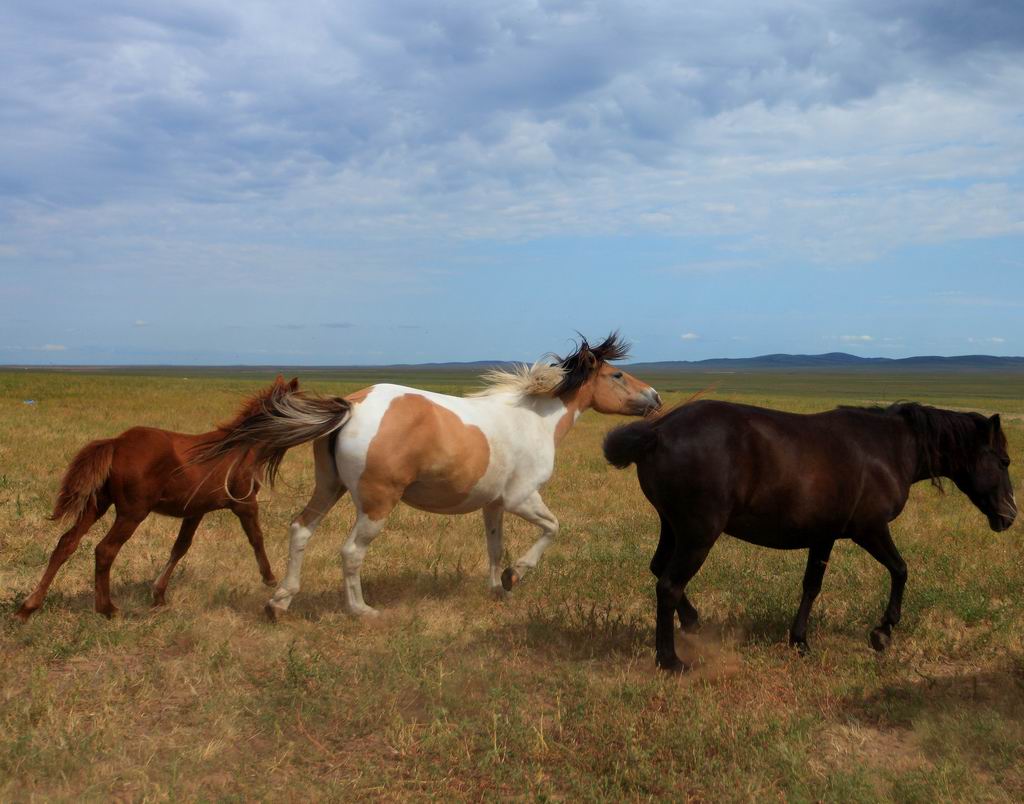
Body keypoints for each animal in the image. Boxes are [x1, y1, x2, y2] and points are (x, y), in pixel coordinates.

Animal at [11, 372, 344, 618]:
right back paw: (107, 609)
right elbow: (256, 538)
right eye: (308, 401)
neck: (241, 448)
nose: (339, 408)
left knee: (66, 543)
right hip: (131, 512)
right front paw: (269, 578)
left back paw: (28, 607)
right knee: (104, 550)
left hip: (98, 504)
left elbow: (180, 547)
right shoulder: (244, 503)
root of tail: (116, 443)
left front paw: (158, 594)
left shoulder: (195, 510)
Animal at [205, 331, 663, 614]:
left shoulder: (494, 504)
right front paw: (515, 576)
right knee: (351, 552)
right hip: (376, 503)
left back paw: (280, 603)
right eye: (617, 374)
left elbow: (494, 547)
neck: (534, 420)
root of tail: (351, 406)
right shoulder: (522, 498)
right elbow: (552, 529)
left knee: (300, 530)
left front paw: (497, 589)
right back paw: (361, 610)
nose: (656, 397)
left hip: (329, 487)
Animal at [602, 401, 1011, 671]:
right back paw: (670, 659)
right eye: (1005, 461)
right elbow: (900, 569)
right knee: (669, 584)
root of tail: (658, 431)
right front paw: (882, 632)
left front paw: (799, 640)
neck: (888, 449)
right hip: (699, 532)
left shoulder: (823, 535)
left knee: (659, 569)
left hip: (674, 527)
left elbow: (812, 585)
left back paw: (692, 623)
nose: (1010, 515)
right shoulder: (870, 529)